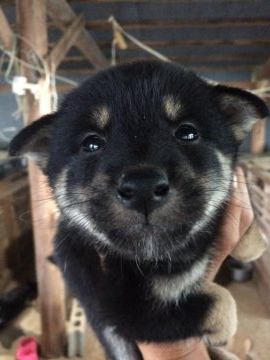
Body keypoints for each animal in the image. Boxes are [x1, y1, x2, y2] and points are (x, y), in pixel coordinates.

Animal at [9, 60, 268, 358]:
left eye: (187, 132)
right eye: (91, 143)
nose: (143, 187)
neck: (158, 257)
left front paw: (253, 241)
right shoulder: (124, 310)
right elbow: (219, 302)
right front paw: (223, 330)